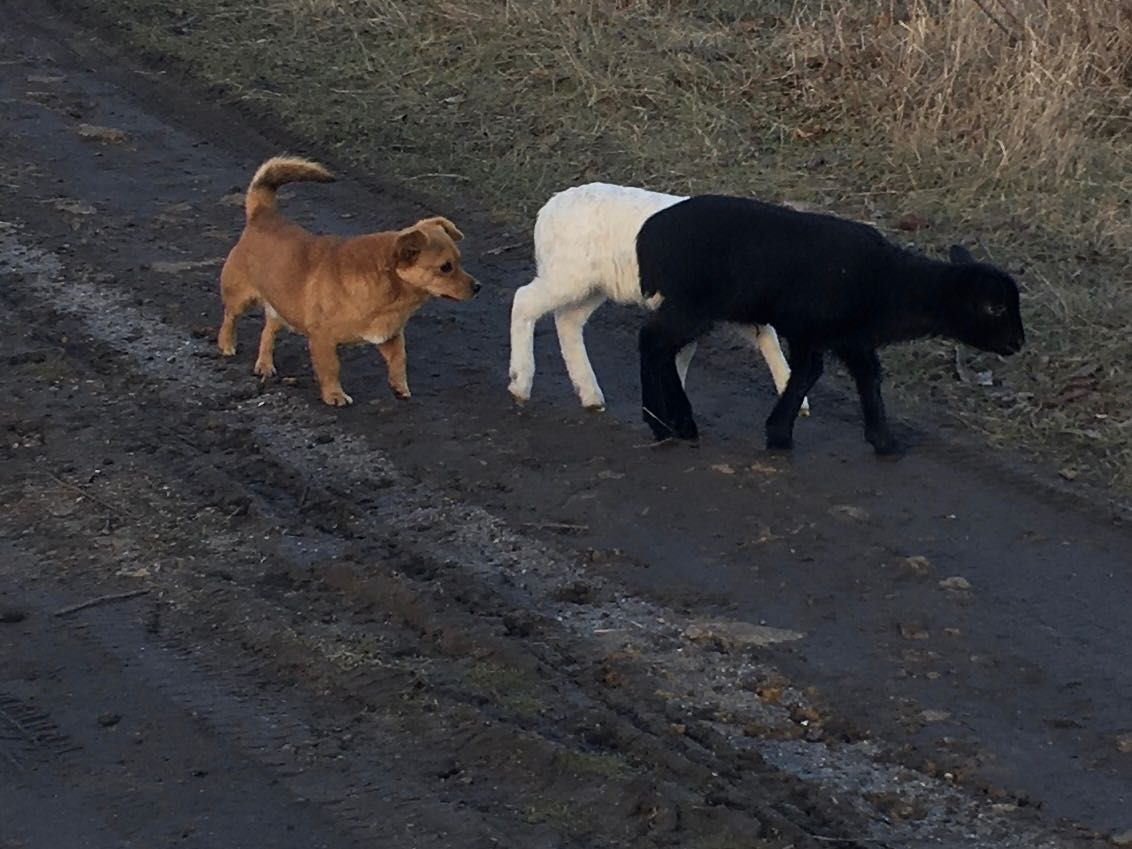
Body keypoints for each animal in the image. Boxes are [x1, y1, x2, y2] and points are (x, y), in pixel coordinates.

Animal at [216, 157, 477, 409]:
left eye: (459, 261)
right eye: (445, 268)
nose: (478, 287)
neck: (393, 293)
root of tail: (262, 213)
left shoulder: (389, 337)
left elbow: (398, 360)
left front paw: (399, 387)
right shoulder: (323, 340)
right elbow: (331, 369)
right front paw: (334, 395)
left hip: (282, 306)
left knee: (268, 330)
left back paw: (265, 363)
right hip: (240, 298)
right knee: (230, 317)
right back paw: (226, 344)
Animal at [509, 183, 810, 416]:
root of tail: (547, 211)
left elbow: (765, 339)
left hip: (592, 285)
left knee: (568, 321)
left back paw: (590, 395)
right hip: (568, 274)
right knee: (524, 300)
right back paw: (520, 384)